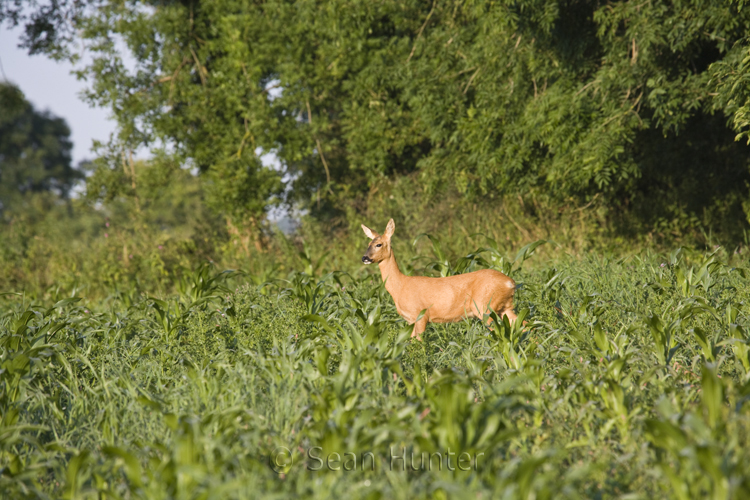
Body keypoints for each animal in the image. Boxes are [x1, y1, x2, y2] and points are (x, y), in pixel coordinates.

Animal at [362, 219, 516, 340]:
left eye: (378, 244)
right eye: (368, 244)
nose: (364, 258)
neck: (400, 286)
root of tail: (510, 283)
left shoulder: (421, 315)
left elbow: (419, 343)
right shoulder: (411, 321)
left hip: (484, 306)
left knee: (499, 330)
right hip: (504, 306)